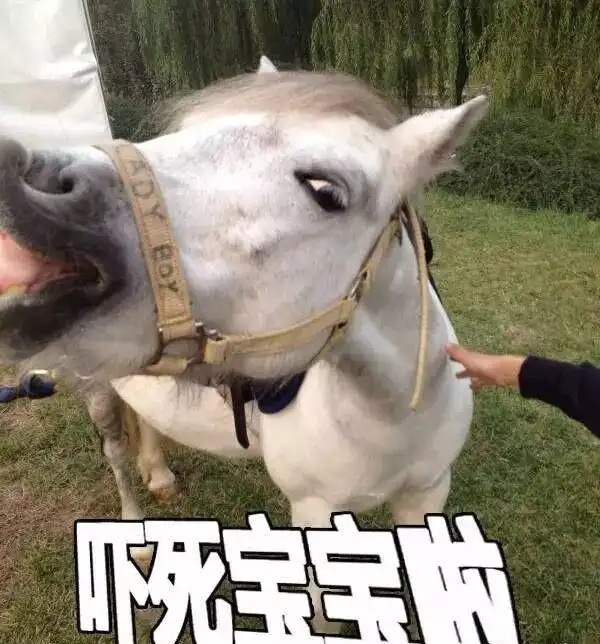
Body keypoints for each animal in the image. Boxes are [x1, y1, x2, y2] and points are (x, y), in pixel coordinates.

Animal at [0, 58, 488, 633]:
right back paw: (137, 533)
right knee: (116, 456)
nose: (30, 178)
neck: (391, 413)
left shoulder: (426, 495)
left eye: (325, 190)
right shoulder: (314, 511)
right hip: (93, 388)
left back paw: (160, 473)